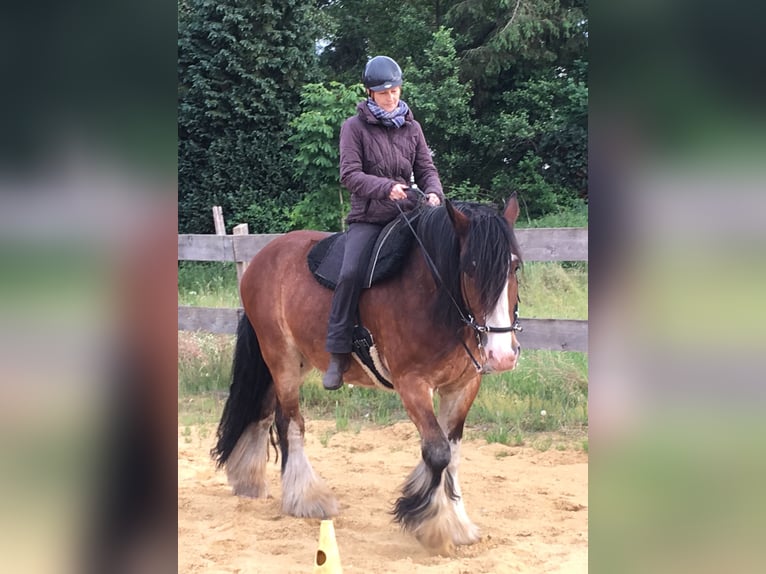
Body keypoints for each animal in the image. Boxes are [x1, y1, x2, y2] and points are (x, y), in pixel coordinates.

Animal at [210, 197, 524, 552]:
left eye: (514, 267)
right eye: (470, 268)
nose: (502, 355)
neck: (431, 295)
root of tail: (261, 259)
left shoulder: (463, 386)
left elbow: (452, 453)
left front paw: (456, 523)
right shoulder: (412, 384)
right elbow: (437, 452)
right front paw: (433, 525)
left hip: (292, 362)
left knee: (264, 413)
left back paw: (249, 479)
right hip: (281, 359)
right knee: (290, 423)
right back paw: (306, 499)